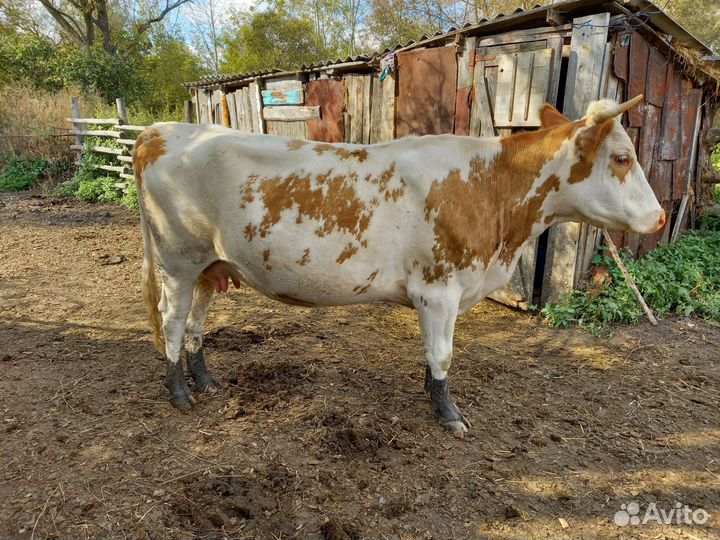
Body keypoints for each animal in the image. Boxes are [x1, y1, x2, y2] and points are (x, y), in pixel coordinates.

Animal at [134, 95, 664, 433]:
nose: (659, 217)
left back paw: (206, 381)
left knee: (197, 322)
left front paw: (435, 399)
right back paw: (179, 393)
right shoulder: (438, 289)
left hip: (210, 265)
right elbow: (443, 355)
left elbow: (434, 357)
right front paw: (449, 415)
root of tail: (161, 132)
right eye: (622, 156)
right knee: (172, 322)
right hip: (177, 261)